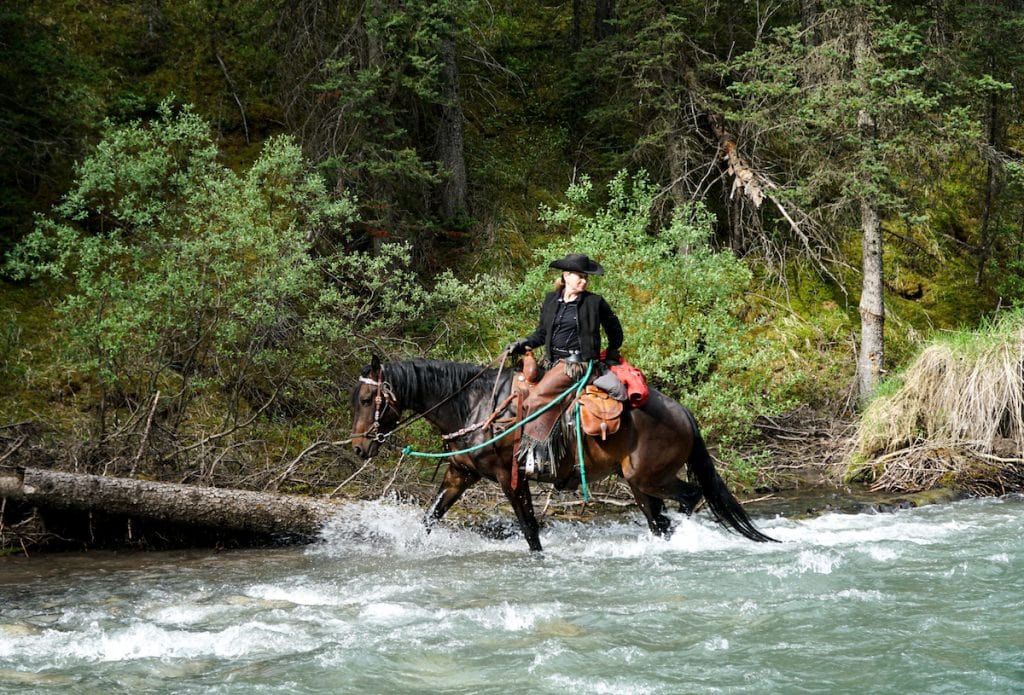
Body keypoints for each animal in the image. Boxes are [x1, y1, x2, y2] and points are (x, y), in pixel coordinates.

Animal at [348, 356, 770, 552]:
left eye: (369, 398)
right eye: (357, 398)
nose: (358, 447)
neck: (476, 406)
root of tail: (683, 411)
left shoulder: (510, 479)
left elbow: (530, 531)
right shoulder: (459, 475)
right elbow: (429, 517)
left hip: (649, 477)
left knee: (690, 496)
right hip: (638, 484)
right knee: (659, 519)